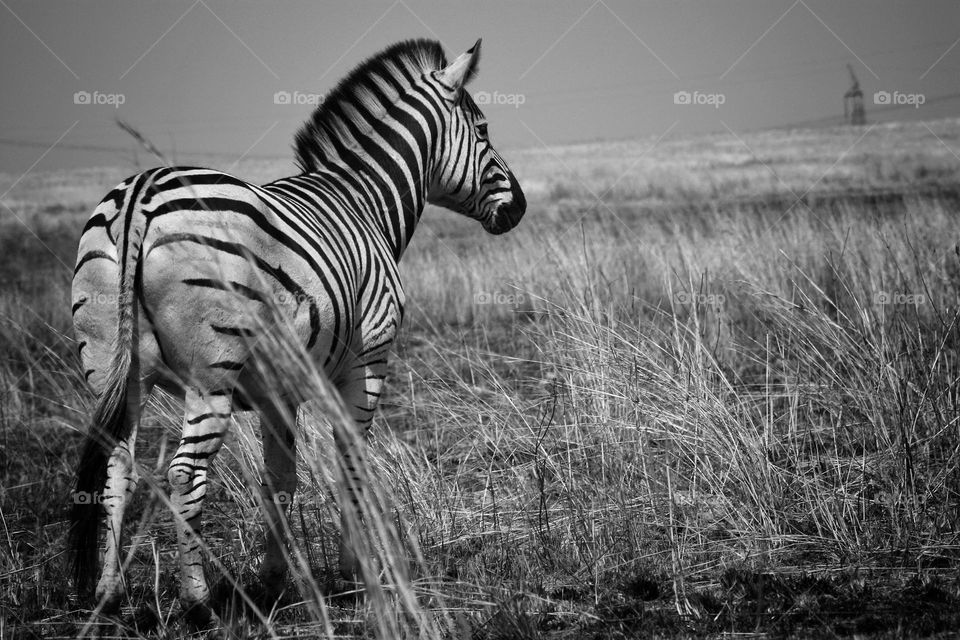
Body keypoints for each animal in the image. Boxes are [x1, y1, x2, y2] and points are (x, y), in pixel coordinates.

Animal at [69, 38, 525, 624]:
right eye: (484, 129)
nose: (519, 208)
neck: (364, 201)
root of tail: (139, 195)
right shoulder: (369, 360)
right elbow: (350, 464)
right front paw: (357, 573)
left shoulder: (276, 389)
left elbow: (281, 480)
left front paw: (275, 581)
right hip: (211, 374)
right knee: (184, 475)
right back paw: (199, 604)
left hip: (113, 370)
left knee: (115, 468)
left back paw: (109, 596)